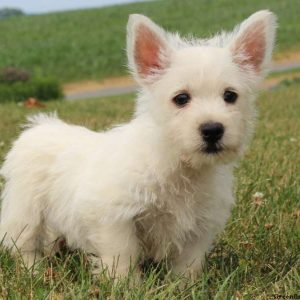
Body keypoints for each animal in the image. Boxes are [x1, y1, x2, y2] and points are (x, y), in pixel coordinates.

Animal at [0, 10, 276, 278]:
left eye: (230, 96)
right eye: (181, 98)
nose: (212, 130)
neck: (177, 163)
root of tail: (39, 125)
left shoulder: (199, 228)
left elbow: (188, 265)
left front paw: (184, 287)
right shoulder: (115, 217)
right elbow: (123, 257)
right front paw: (127, 286)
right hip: (26, 211)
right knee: (22, 244)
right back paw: (34, 272)